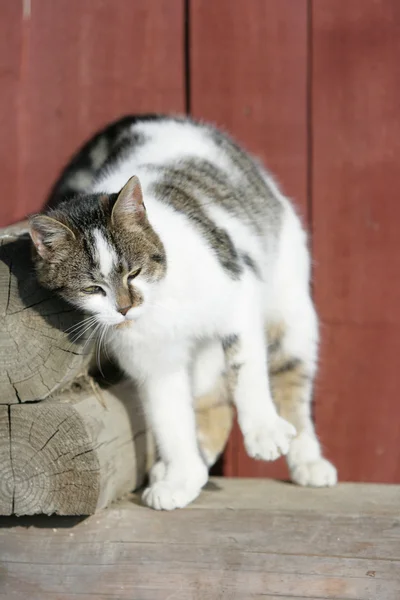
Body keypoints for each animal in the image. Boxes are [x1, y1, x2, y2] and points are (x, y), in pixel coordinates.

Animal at [28, 113, 336, 510]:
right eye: (92, 289)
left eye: (134, 272)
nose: (125, 308)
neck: (161, 301)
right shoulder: (152, 362)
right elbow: (170, 417)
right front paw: (181, 478)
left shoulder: (237, 297)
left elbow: (246, 369)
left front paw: (264, 432)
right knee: (211, 398)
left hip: (290, 303)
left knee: (290, 376)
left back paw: (308, 461)